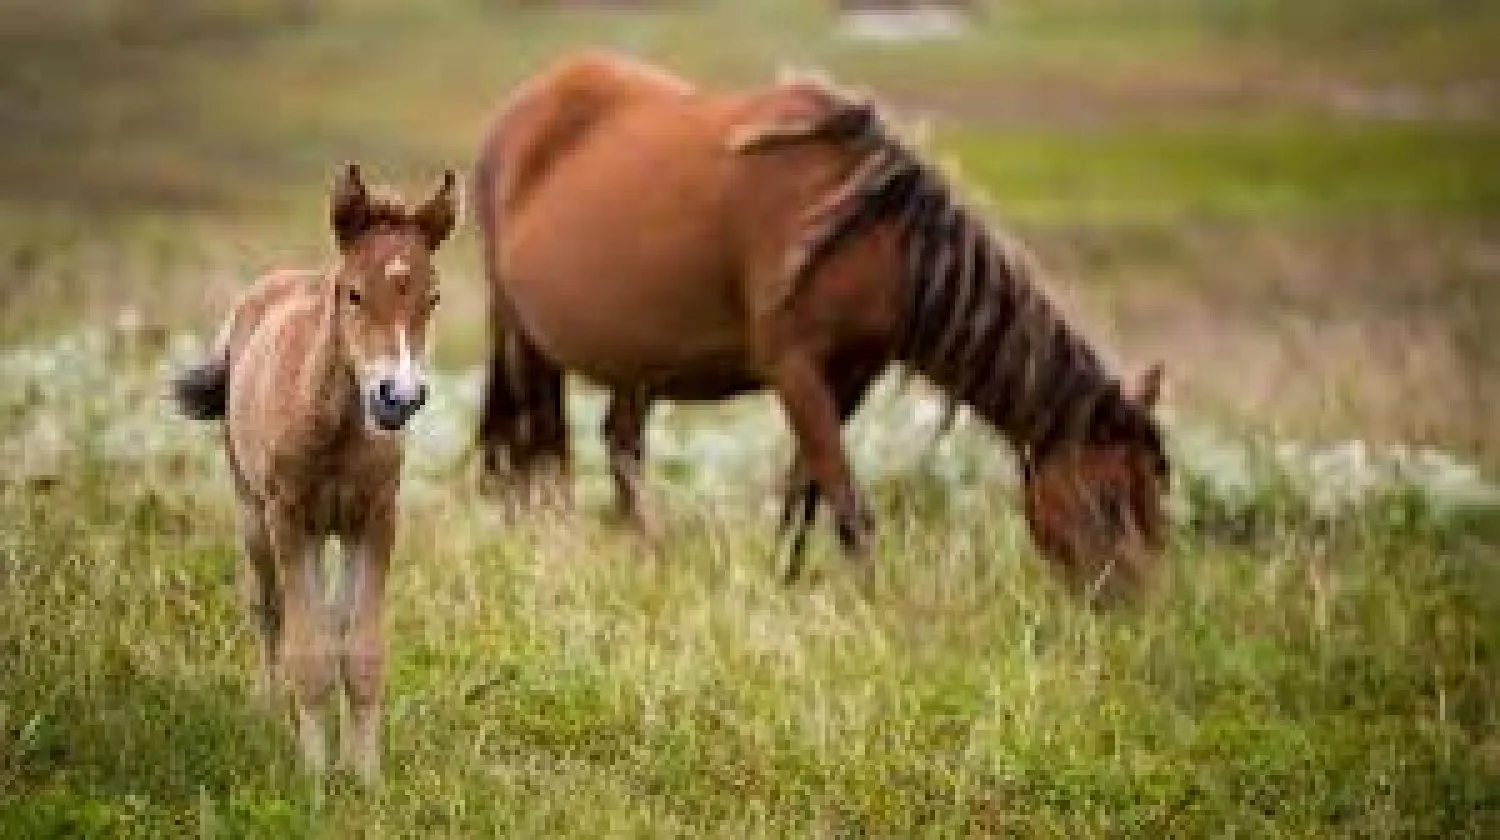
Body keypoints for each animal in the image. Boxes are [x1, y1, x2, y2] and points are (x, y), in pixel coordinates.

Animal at [171, 164, 453, 780]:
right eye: (353, 292)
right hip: (254, 513)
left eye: (433, 297)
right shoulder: (289, 517)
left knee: (332, 619)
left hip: (333, 530)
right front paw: (316, 778)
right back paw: (267, 714)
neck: (336, 431)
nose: (399, 397)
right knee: (269, 607)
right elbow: (308, 650)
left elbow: (360, 650)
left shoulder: (376, 518)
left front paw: (365, 777)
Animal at [477, 51, 1170, 597]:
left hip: (638, 359)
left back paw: (651, 557)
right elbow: (847, 501)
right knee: (541, 452)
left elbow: (804, 493)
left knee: (622, 448)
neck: (872, 234)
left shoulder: (849, 379)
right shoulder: (796, 370)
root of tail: (517, 114)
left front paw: (784, 583)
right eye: (1107, 501)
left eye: (1155, 498)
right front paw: (877, 609)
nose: (1139, 612)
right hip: (521, 338)